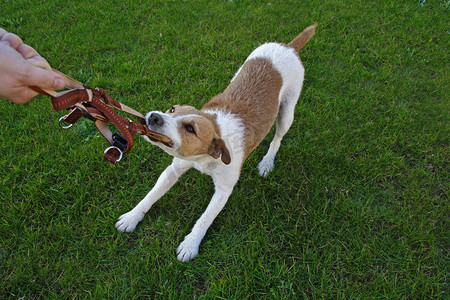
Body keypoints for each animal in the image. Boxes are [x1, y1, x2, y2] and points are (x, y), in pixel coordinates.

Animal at [118, 24, 318, 262]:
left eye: (190, 129)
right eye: (172, 109)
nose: (154, 117)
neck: (205, 157)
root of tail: (288, 46)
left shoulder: (224, 189)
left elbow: (205, 218)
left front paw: (191, 244)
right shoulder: (173, 169)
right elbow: (151, 195)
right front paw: (132, 217)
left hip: (287, 111)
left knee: (278, 137)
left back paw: (267, 162)